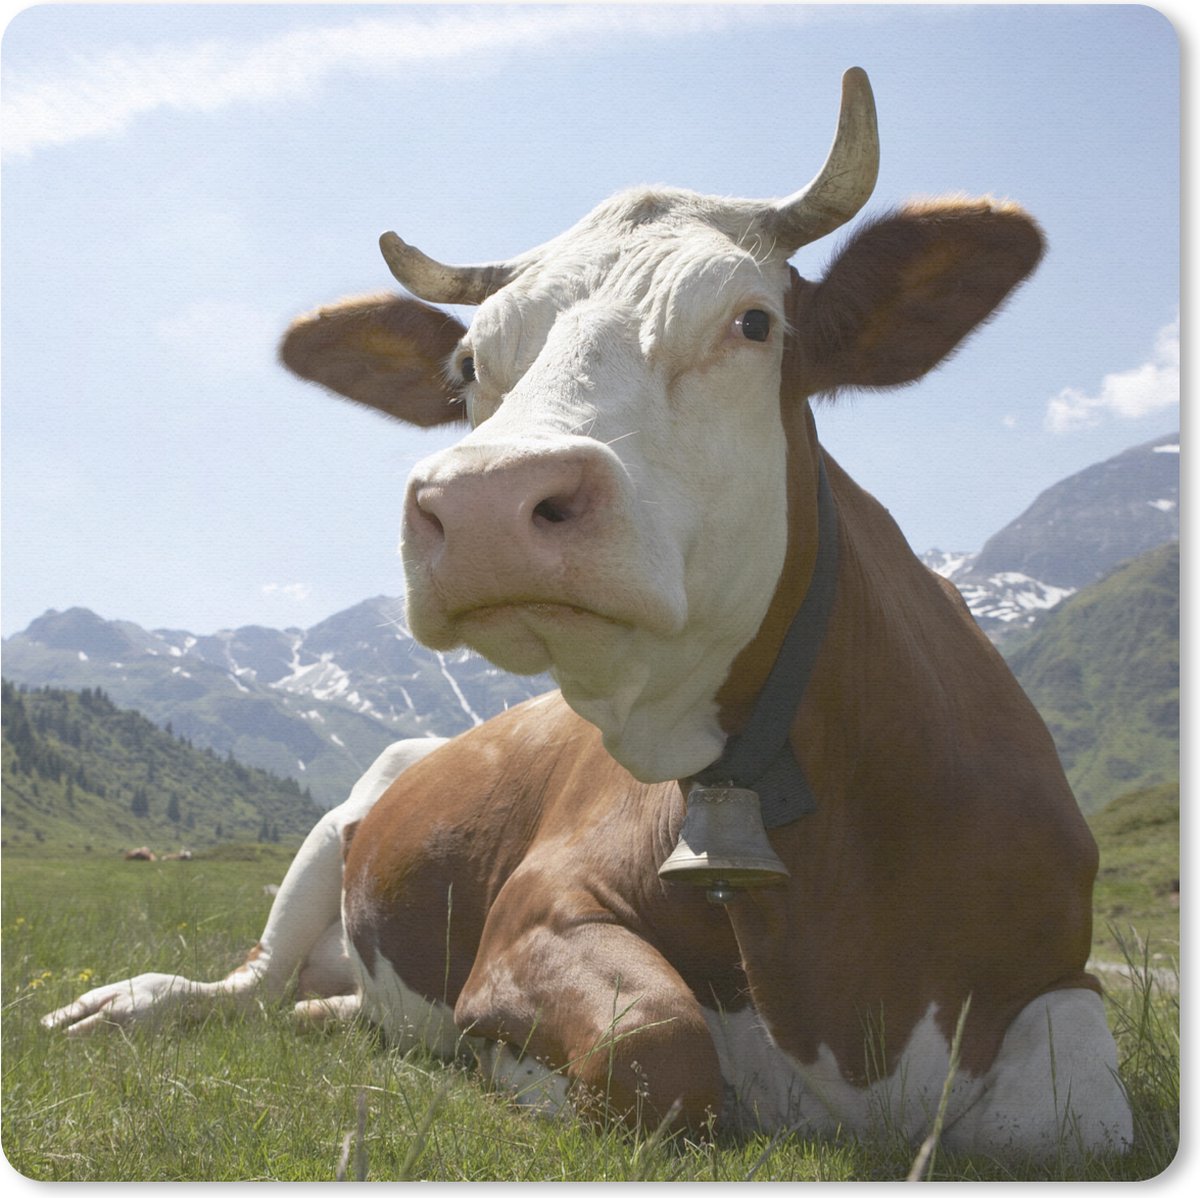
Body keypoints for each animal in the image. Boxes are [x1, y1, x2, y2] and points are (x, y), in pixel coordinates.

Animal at [45, 70, 1131, 1161]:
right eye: (467, 368)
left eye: (753, 323)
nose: (485, 501)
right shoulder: (536, 910)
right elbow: (655, 1043)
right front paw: (509, 1072)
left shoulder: (1058, 981)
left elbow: (1083, 1118)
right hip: (332, 830)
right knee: (245, 985)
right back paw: (128, 1003)